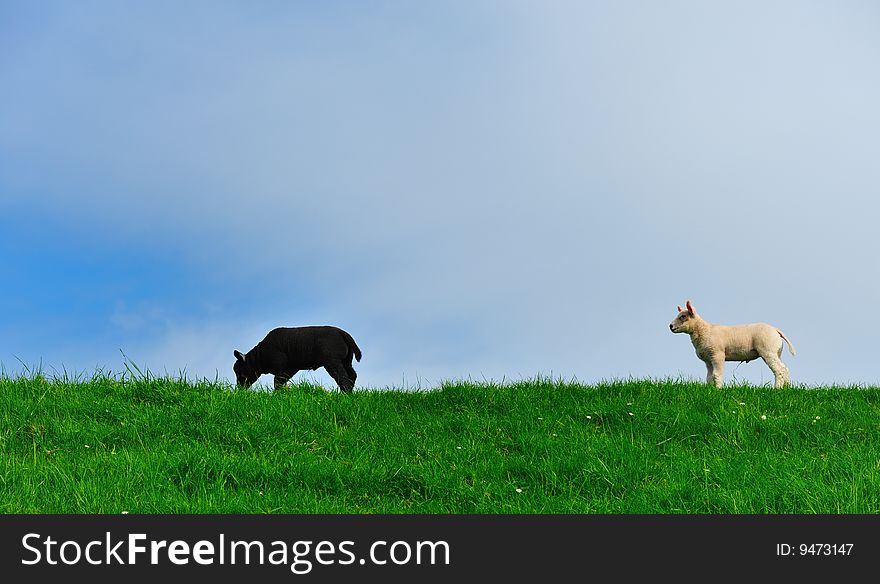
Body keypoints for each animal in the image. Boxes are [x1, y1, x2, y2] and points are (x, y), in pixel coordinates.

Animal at [232, 324, 362, 392]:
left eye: (239, 372)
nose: (239, 389)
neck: (259, 356)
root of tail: (343, 333)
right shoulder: (290, 369)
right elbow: (281, 382)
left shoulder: (280, 368)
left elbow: (277, 383)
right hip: (346, 361)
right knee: (352, 375)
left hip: (332, 362)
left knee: (343, 378)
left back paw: (345, 394)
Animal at [668, 302, 796, 388]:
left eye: (683, 316)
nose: (670, 326)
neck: (704, 330)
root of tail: (775, 330)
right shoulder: (708, 360)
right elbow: (709, 377)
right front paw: (710, 390)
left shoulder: (717, 355)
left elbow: (717, 375)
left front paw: (718, 390)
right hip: (776, 352)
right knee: (785, 368)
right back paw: (786, 388)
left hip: (768, 350)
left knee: (779, 370)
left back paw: (777, 389)